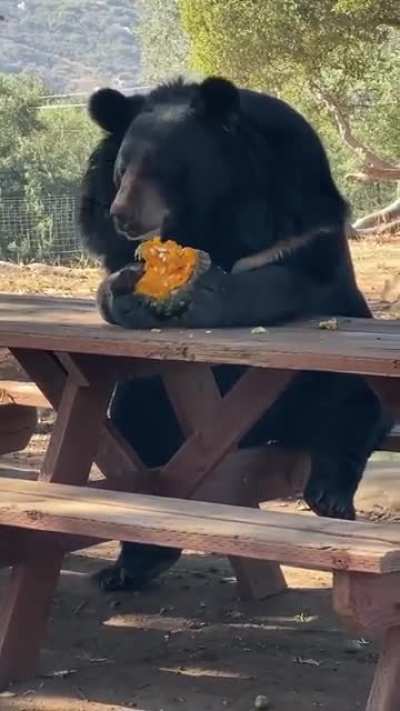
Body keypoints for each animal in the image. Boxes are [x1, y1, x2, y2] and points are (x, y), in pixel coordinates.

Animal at [79, 76, 392, 592]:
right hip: (156, 400)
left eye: (163, 167)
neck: (211, 217)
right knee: (139, 427)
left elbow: (292, 274)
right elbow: (115, 273)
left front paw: (205, 291)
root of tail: (262, 434)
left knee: (352, 402)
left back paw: (330, 493)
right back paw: (130, 566)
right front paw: (129, 288)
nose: (124, 215)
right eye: (121, 170)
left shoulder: (300, 206)